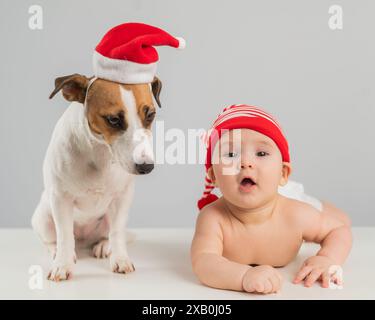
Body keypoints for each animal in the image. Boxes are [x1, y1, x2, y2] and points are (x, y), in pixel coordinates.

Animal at [31, 74, 163, 282]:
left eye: (150, 115)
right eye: (113, 119)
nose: (146, 167)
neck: (100, 152)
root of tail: (83, 239)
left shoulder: (122, 198)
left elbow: (117, 232)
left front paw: (120, 259)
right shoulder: (60, 199)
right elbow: (64, 235)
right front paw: (62, 264)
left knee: (108, 233)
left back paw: (103, 245)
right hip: (43, 217)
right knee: (54, 239)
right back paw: (57, 250)